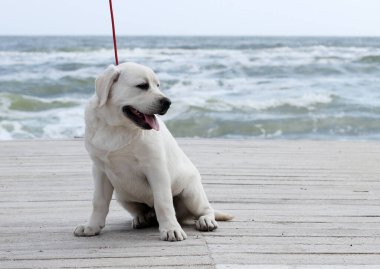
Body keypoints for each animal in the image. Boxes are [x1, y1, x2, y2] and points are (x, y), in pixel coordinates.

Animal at [74, 62, 232, 241]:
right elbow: (99, 201)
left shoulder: (156, 169)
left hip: (191, 193)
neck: (117, 127)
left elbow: (163, 202)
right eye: (142, 86)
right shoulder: (100, 170)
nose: (168, 102)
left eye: (158, 85)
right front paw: (91, 226)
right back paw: (142, 218)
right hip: (123, 195)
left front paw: (171, 229)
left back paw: (206, 221)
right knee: (144, 211)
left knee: (206, 209)